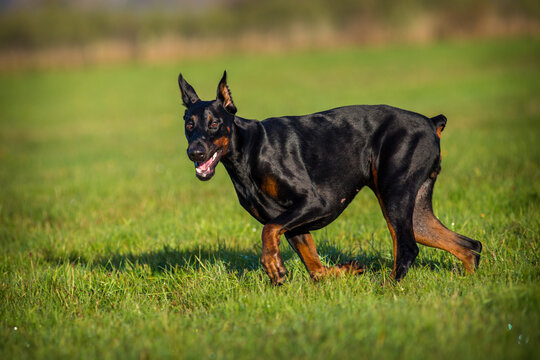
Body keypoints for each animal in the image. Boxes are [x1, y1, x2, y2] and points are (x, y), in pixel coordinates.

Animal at [176, 71, 480, 284]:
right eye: (189, 125)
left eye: (214, 123)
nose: (194, 152)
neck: (249, 150)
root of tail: (431, 122)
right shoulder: (294, 225)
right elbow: (316, 269)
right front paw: (346, 269)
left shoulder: (315, 203)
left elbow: (268, 231)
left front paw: (273, 266)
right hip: (415, 207)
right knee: (469, 245)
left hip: (394, 194)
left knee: (407, 248)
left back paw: (387, 288)